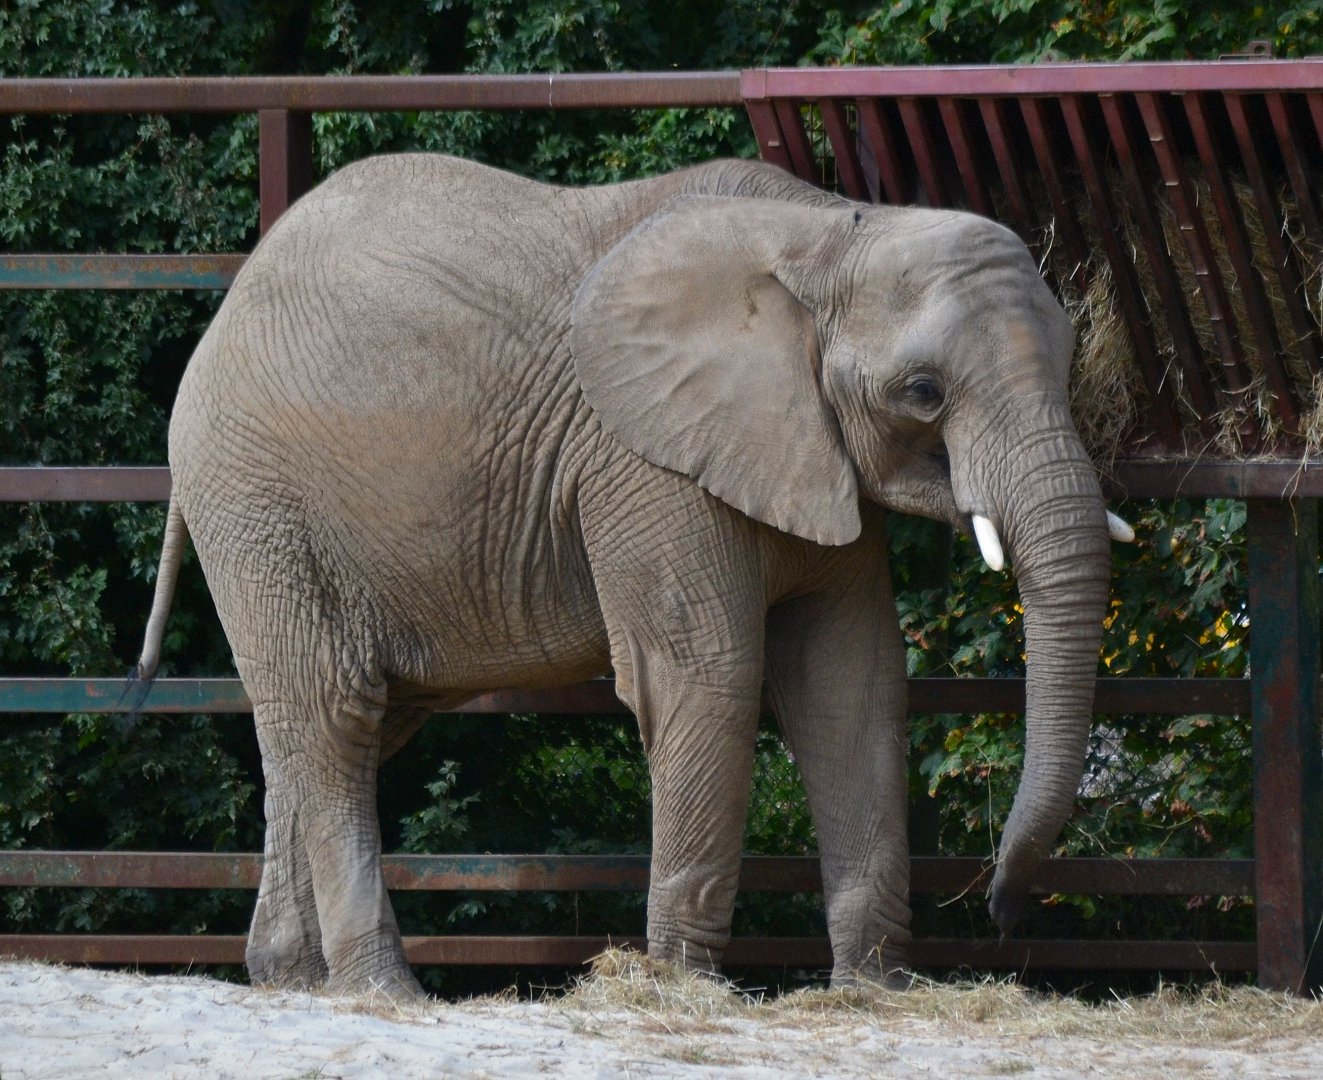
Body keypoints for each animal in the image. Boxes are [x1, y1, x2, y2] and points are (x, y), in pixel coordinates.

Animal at [136, 152, 1128, 999]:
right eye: (922, 392)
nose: (1000, 909)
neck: (827, 231)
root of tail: (223, 315)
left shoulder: (814, 459)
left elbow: (851, 681)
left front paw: (875, 993)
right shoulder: (646, 459)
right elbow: (706, 676)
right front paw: (684, 984)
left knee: (321, 729)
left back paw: (291, 981)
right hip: (257, 500)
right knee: (335, 714)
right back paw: (383, 992)